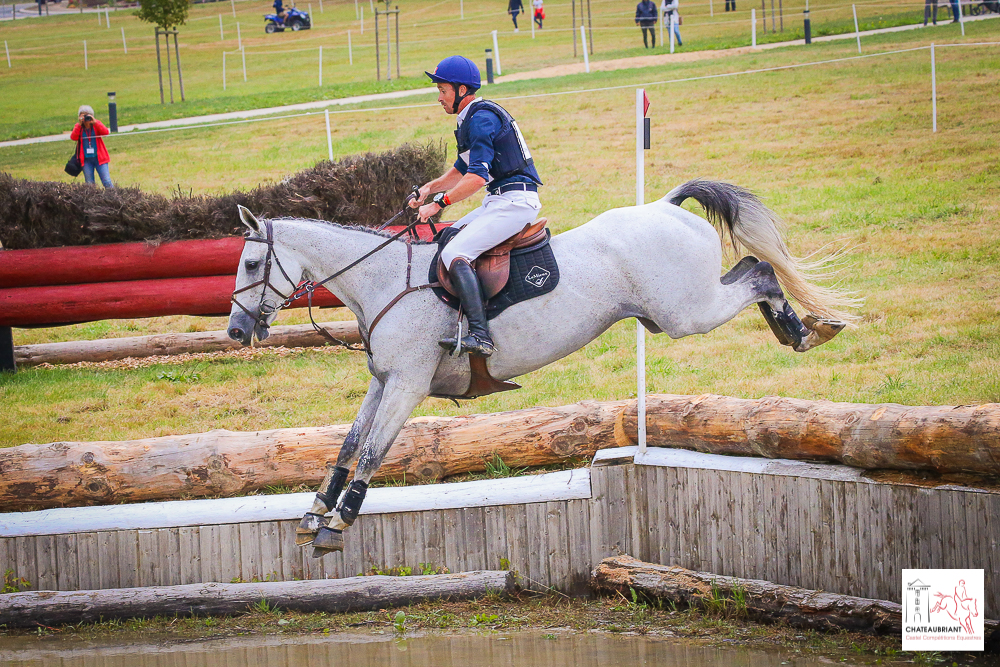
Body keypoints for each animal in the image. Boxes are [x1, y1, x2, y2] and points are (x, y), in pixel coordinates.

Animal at [230, 180, 856, 556]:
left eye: (254, 264)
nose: (236, 332)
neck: (383, 282)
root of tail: (664, 205)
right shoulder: (382, 381)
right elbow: (346, 444)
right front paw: (316, 511)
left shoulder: (408, 384)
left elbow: (372, 451)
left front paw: (339, 522)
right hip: (678, 310)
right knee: (753, 268)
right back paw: (803, 328)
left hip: (687, 312)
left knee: (760, 272)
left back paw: (803, 331)